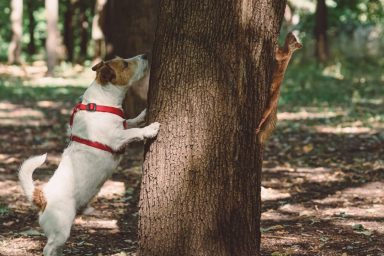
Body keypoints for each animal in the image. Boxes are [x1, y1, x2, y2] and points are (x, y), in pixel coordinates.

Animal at [17, 54, 159, 256]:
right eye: (125, 64)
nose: (145, 55)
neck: (101, 104)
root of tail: (42, 196)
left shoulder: (122, 126)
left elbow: (130, 122)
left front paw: (143, 114)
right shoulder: (117, 138)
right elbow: (134, 132)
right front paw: (150, 128)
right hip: (61, 229)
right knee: (48, 247)